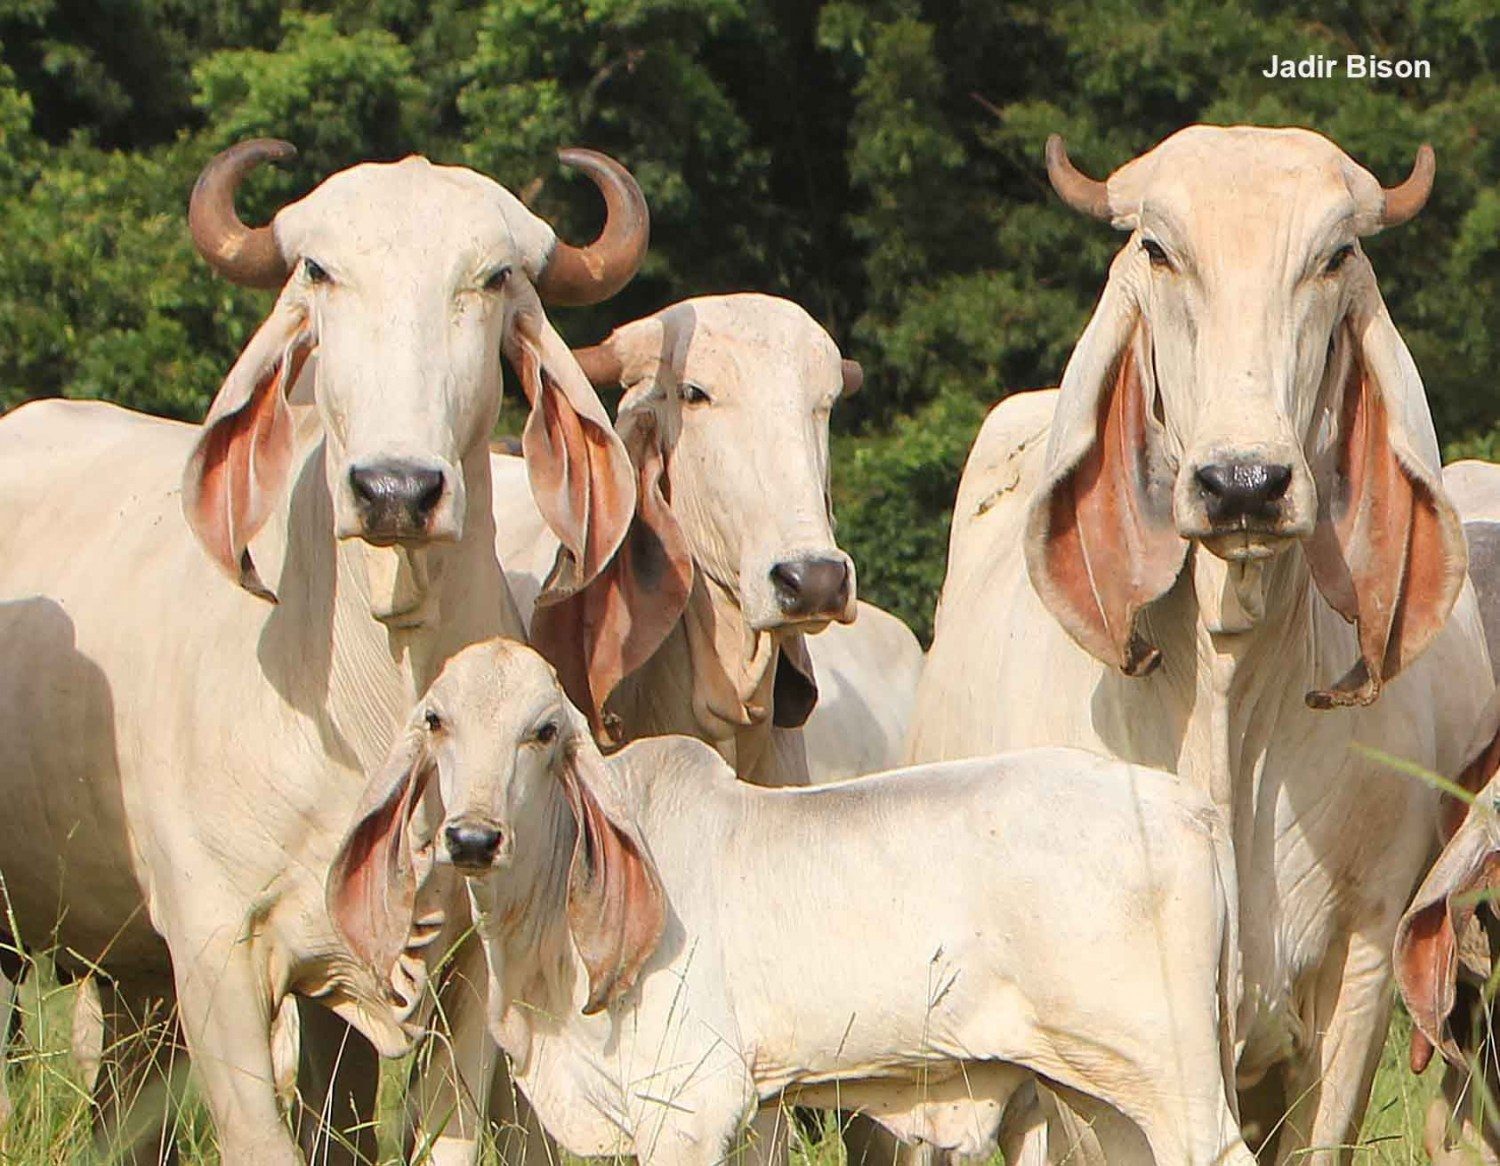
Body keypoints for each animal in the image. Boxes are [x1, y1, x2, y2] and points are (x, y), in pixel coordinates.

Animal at [0, 138, 645, 1164]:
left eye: (494, 277)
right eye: (319, 271)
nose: (396, 489)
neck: (367, 684)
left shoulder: (466, 965)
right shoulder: (216, 954)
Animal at [328, 636, 1254, 1164]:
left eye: (543, 730)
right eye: (436, 720)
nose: (472, 838)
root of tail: (1185, 805)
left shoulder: (690, 1106)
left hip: (1173, 1078)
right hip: (1095, 1092)